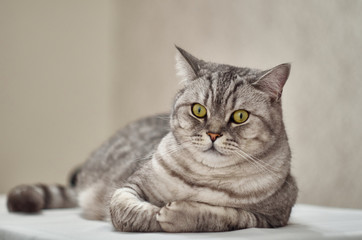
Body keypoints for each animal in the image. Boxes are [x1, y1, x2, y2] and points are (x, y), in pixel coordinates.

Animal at [7, 46, 298, 232]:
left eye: (239, 116)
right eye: (199, 110)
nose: (213, 134)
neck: (205, 178)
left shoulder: (269, 217)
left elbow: (221, 215)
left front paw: (178, 213)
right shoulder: (129, 186)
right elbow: (122, 209)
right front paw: (153, 214)